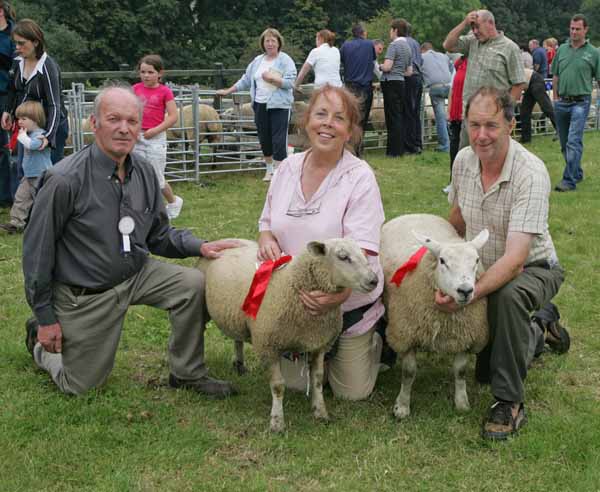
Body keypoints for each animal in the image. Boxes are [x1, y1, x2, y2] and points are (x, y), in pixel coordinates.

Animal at [202, 237, 380, 430]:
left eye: (364, 254)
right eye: (343, 257)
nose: (374, 280)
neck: (293, 284)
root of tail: (220, 241)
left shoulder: (319, 343)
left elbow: (317, 379)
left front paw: (320, 412)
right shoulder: (268, 346)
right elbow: (278, 386)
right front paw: (277, 422)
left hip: (238, 316)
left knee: (237, 338)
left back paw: (239, 364)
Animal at [382, 214, 490, 418]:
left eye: (476, 260)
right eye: (442, 261)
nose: (465, 291)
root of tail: (413, 214)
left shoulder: (464, 337)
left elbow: (460, 371)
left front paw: (462, 402)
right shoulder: (406, 334)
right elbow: (409, 373)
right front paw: (402, 406)